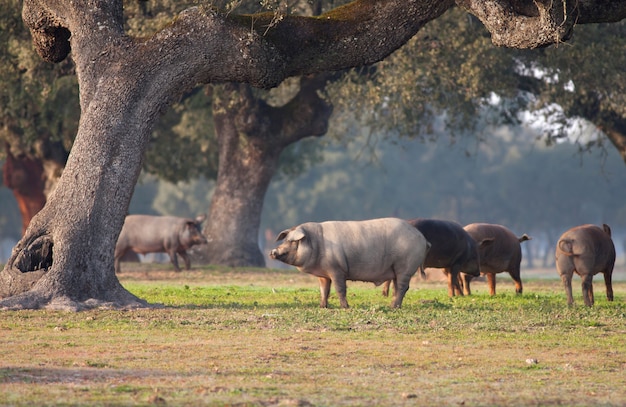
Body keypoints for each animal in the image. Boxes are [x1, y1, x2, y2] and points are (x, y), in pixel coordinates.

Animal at [268, 218, 428, 308]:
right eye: (285, 240)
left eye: (293, 241)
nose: (272, 252)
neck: (317, 245)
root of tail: (422, 238)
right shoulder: (323, 274)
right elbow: (324, 290)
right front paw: (322, 306)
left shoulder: (337, 269)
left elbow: (340, 289)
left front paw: (345, 307)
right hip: (397, 269)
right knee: (398, 287)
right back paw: (394, 305)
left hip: (405, 267)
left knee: (402, 287)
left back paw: (393, 307)